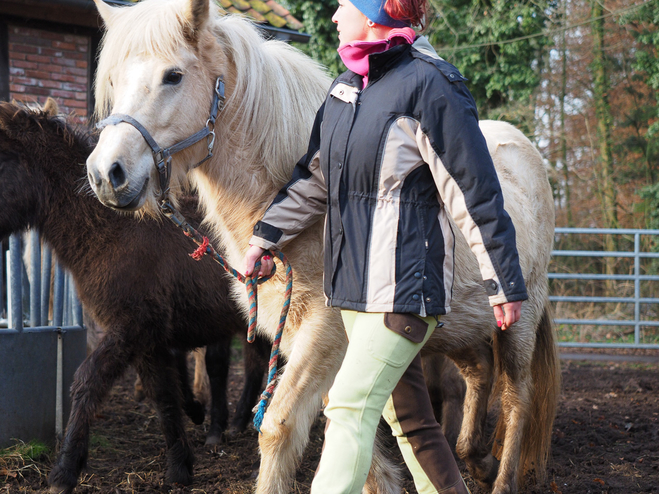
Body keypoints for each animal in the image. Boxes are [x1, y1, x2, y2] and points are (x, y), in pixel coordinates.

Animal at [0, 101, 270, 494]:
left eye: (0, 161)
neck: (112, 231)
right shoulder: (149, 338)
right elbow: (164, 395)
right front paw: (179, 467)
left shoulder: (132, 326)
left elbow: (87, 381)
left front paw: (64, 472)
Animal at [86, 0, 564, 494]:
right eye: (113, 81)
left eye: (173, 76)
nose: (106, 174)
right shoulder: (307, 338)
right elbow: (355, 438)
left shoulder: (324, 330)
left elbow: (280, 427)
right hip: (462, 329)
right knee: (477, 375)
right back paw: (475, 458)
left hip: (518, 321)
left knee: (516, 398)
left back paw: (501, 475)